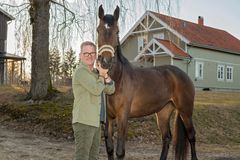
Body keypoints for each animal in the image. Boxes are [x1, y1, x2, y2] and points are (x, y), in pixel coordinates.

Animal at [96, 5, 198, 160]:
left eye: (117, 31)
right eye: (98, 30)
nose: (105, 62)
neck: (117, 81)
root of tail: (183, 74)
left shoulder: (123, 116)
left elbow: (120, 151)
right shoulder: (108, 119)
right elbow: (109, 149)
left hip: (185, 111)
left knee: (191, 136)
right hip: (163, 112)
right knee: (167, 137)